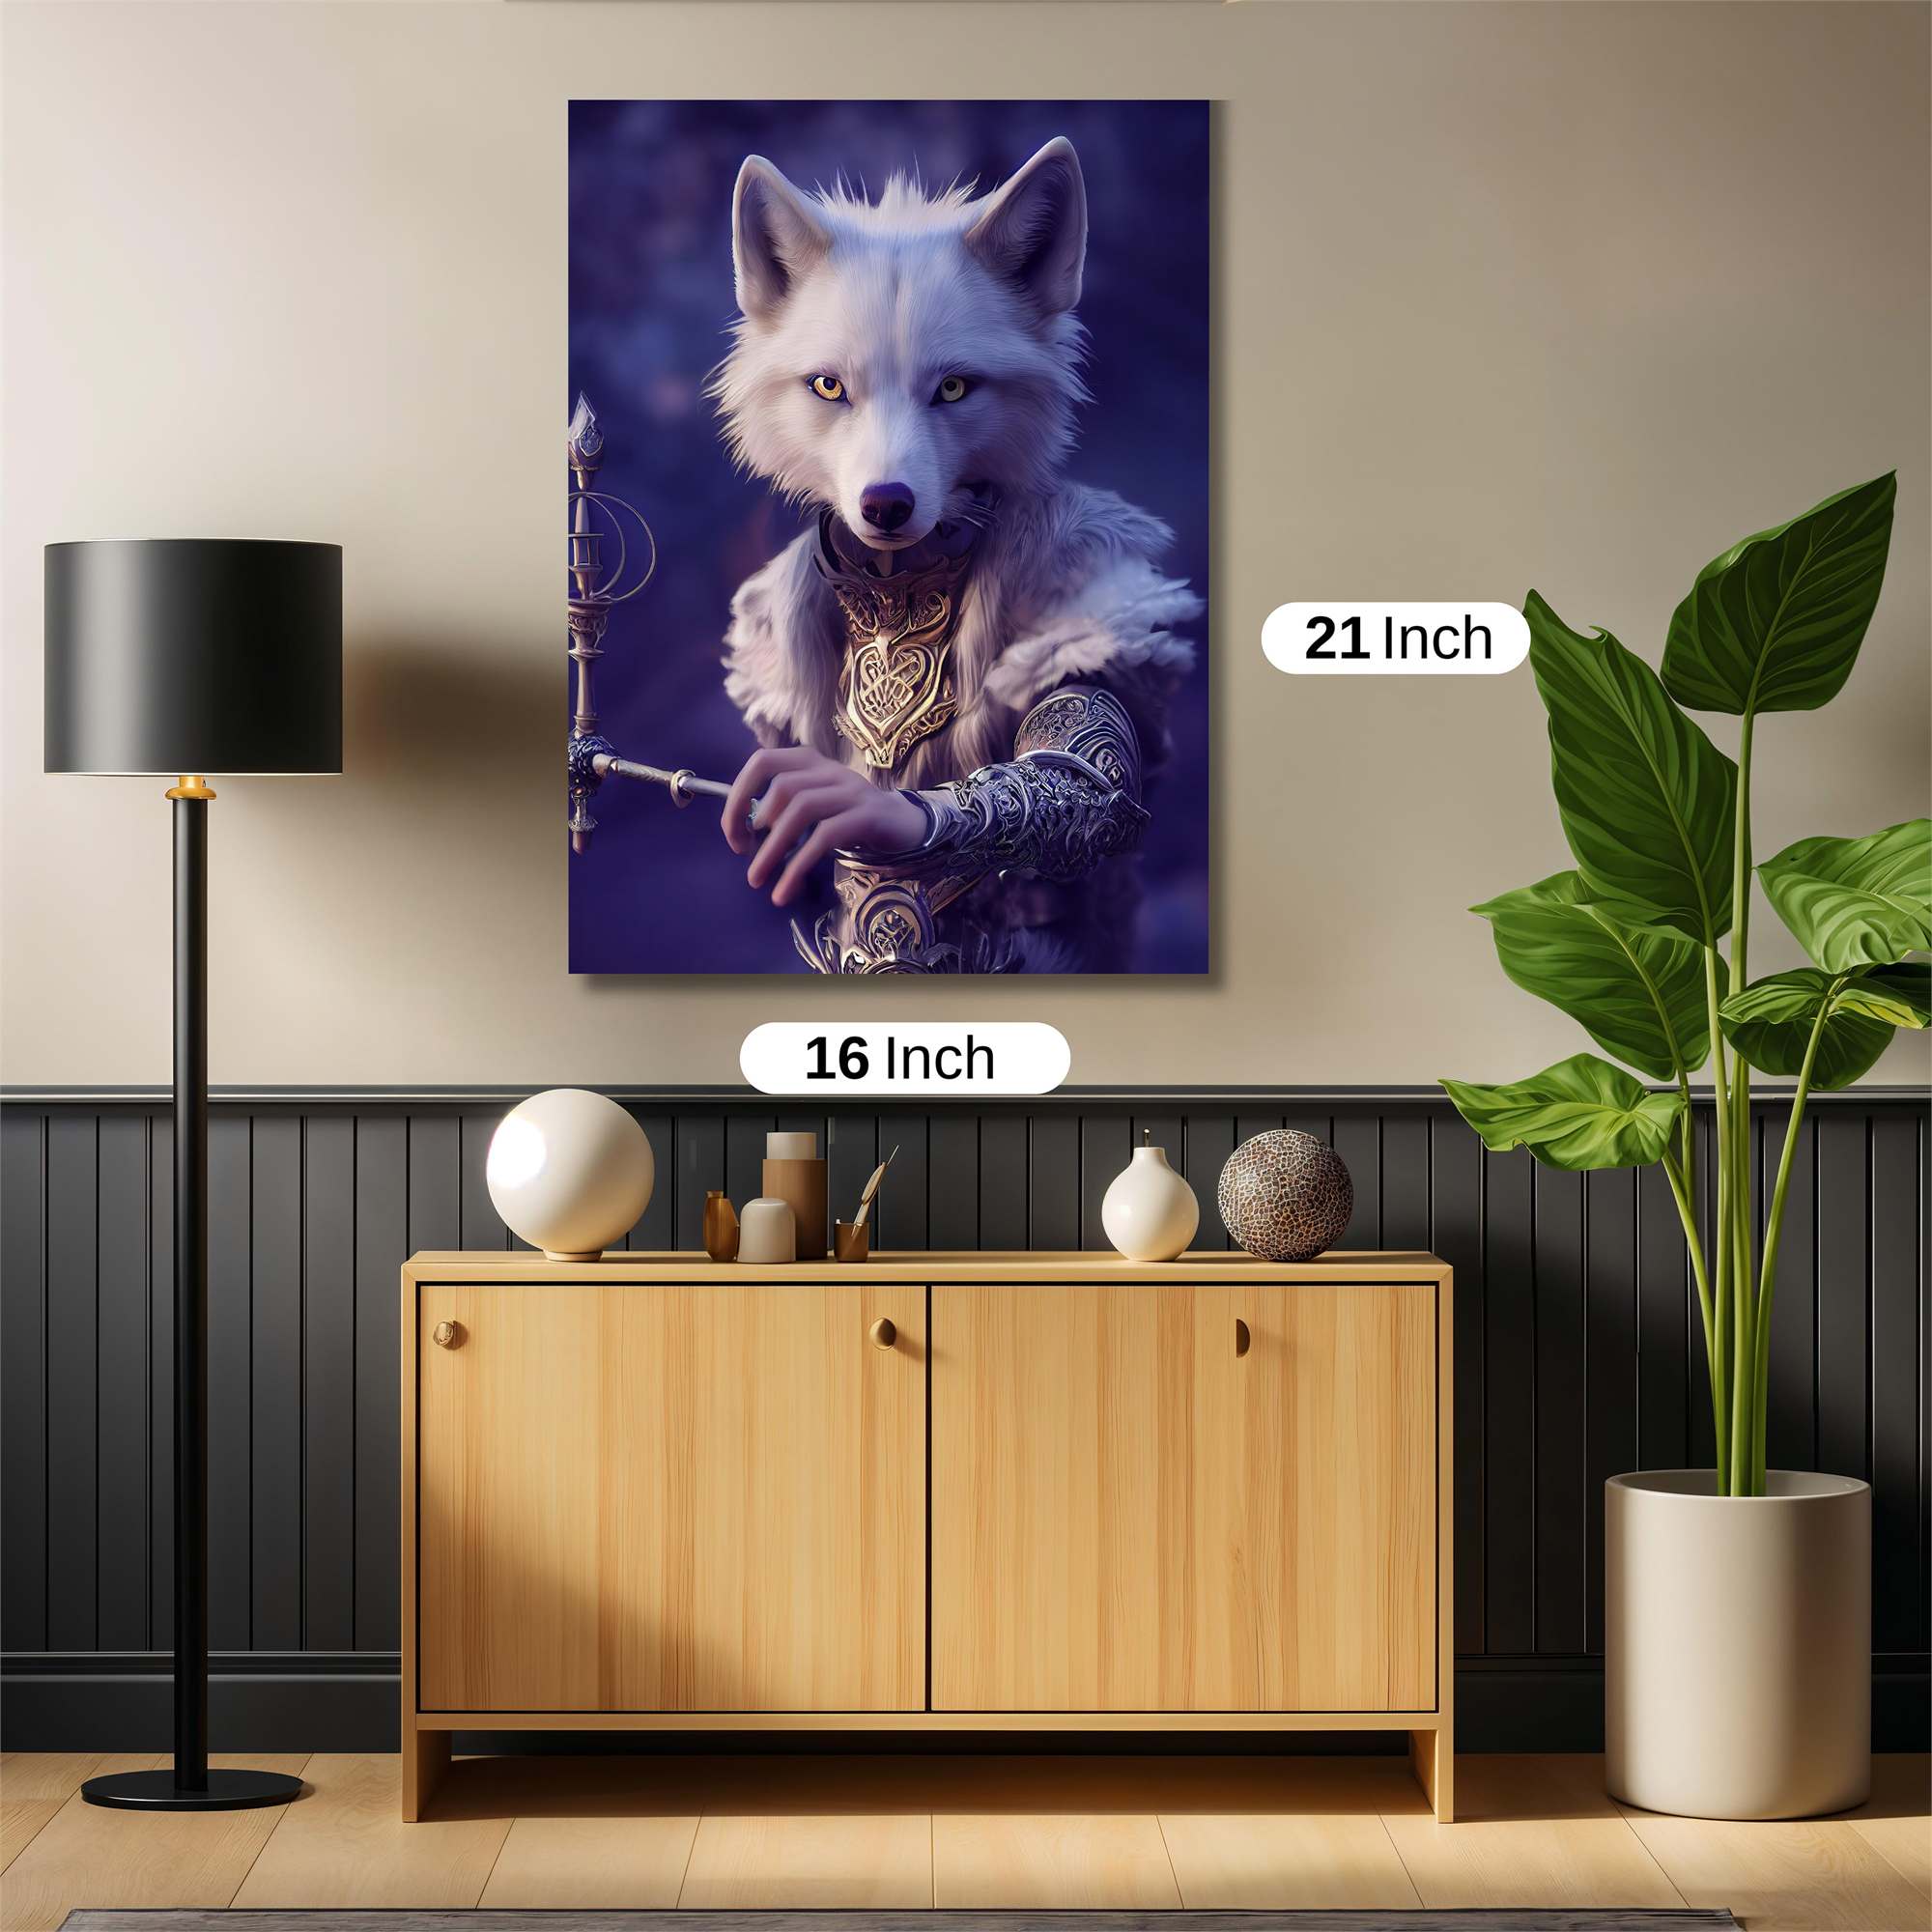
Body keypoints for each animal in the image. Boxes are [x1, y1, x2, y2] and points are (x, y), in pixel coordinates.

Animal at [708, 136, 1200, 967]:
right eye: (830, 387)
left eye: (954, 389)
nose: (885, 505)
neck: (893, 596)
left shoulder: (1082, 606)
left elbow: (1080, 776)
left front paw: (895, 821)